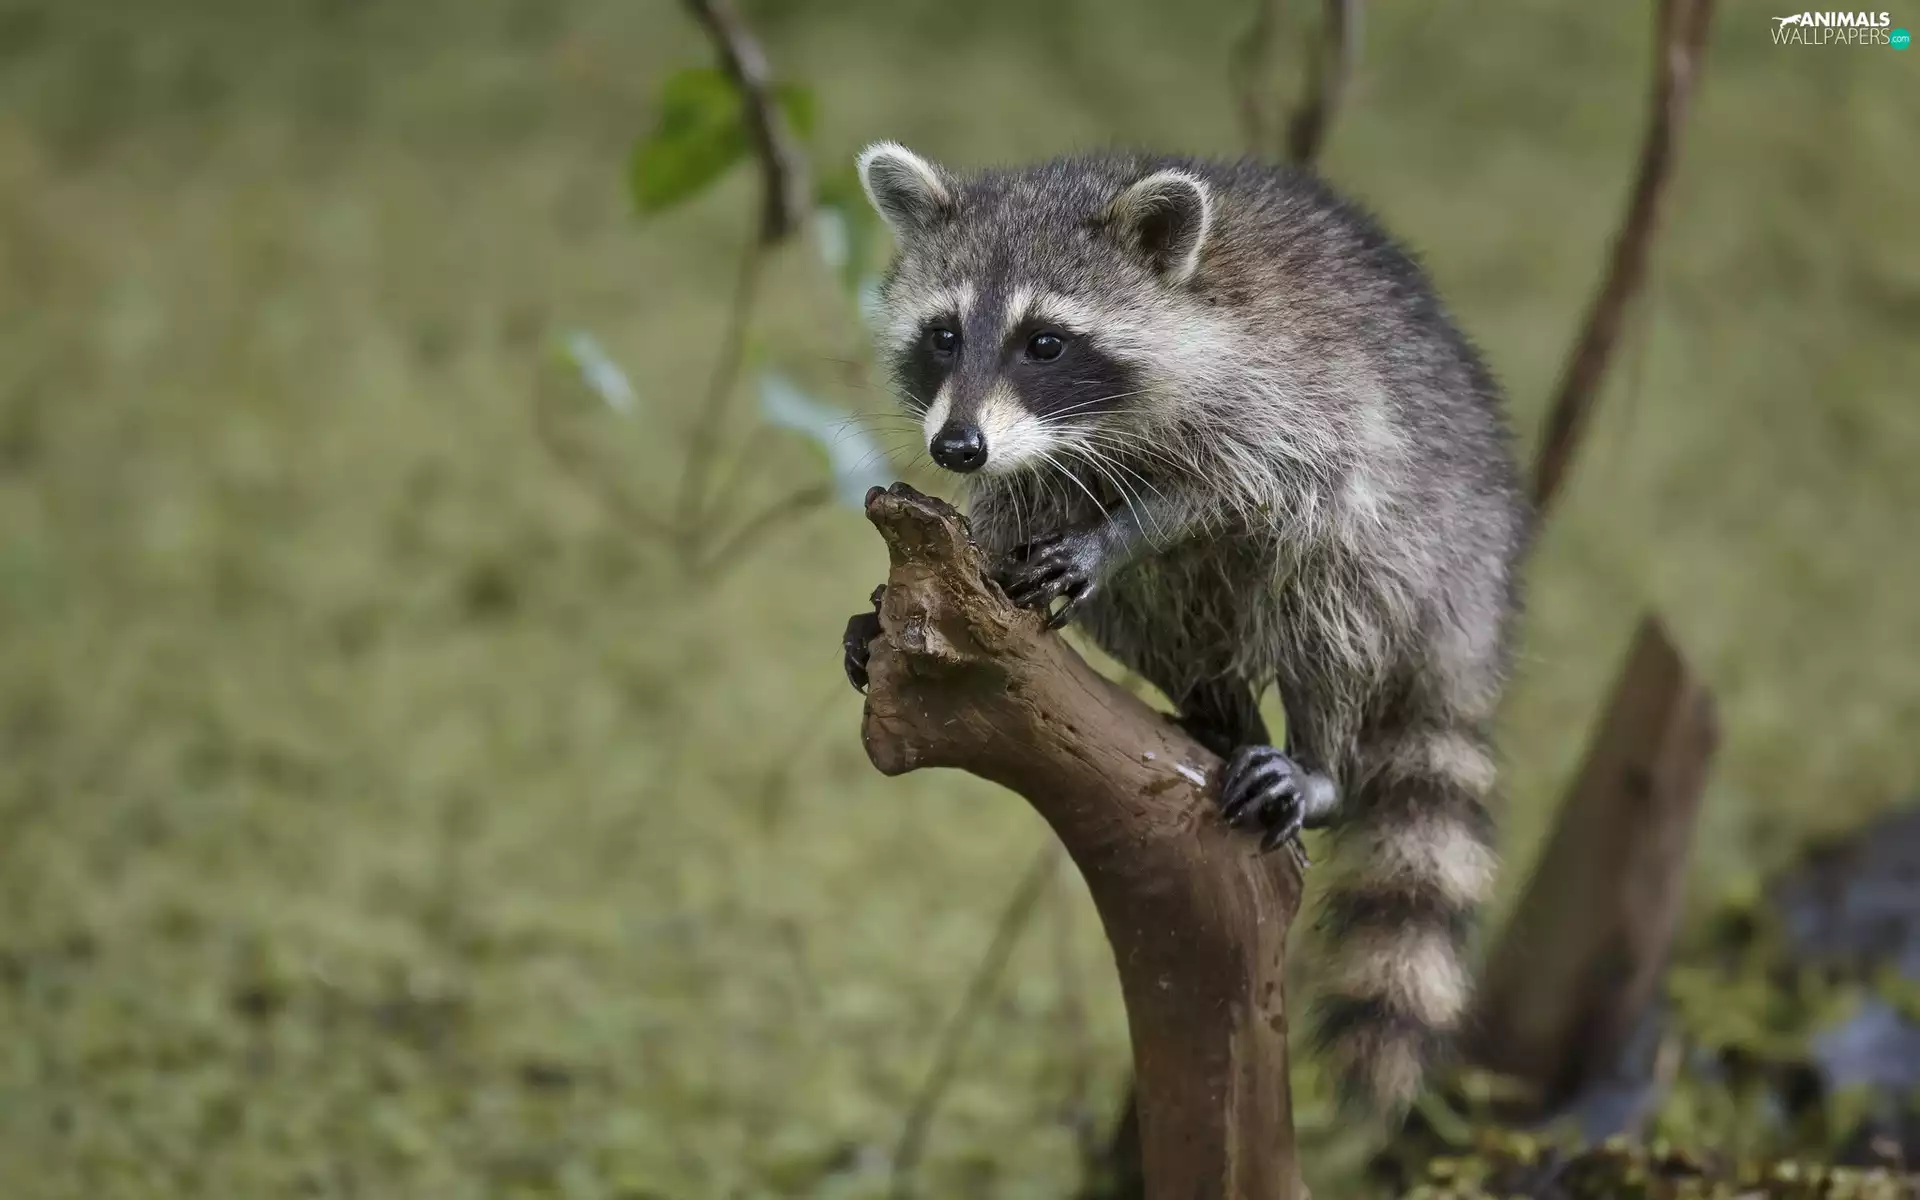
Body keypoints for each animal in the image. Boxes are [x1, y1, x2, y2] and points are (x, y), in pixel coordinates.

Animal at [840, 143, 1530, 1115]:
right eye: (944, 335)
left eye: (1044, 342)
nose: (957, 447)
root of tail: (1479, 615)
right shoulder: (1034, 458)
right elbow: (1012, 513)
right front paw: (912, 591)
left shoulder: (1283, 396)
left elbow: (1237, 496)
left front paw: (1116, 535)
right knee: (1151, 616)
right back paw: (1218, 710)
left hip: (1420, 546)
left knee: (1326, 589)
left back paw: (1318, 759)